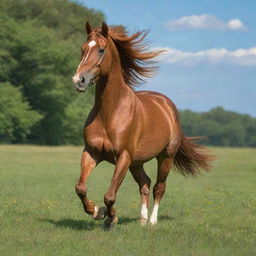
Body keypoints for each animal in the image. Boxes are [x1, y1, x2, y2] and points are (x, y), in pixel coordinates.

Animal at [72, 21, 212, 226]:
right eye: (82, 49)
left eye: (101, 50)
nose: (78, 80)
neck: (109, 112)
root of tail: (167, 105)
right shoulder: (91, 152)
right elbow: (80, 188)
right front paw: (97, 211)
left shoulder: (123, 156)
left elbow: (110, 195)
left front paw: (111, 218)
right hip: (136, 162)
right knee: (145, 183)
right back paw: (142, 220)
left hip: (165, 157)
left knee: (159, 187)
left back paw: (152, 222)